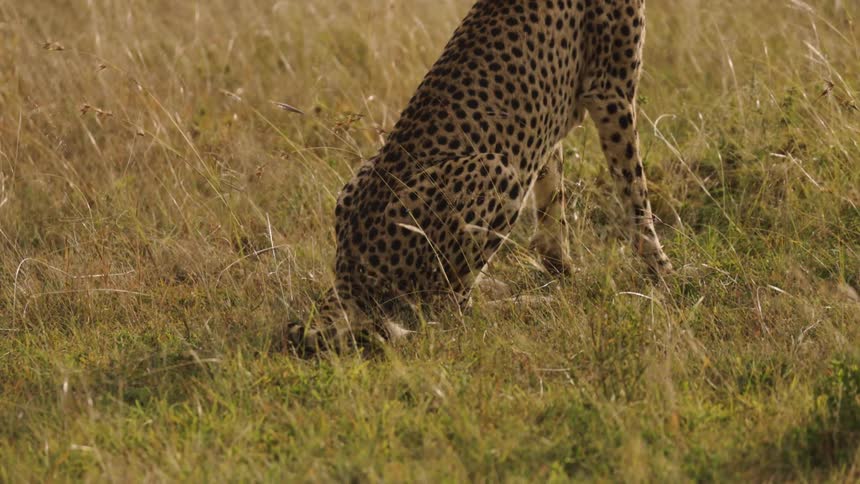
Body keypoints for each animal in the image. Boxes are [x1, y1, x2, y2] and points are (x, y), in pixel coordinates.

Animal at [287, 0, 672, 354]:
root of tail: (348, 271)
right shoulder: (610, 92)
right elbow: (635, 192)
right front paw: (663, 272)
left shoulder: (549, 127)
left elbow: (552, 202)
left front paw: (564, 272)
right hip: (498, 170)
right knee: (449, 311)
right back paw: (526, 304)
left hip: (362, 177)